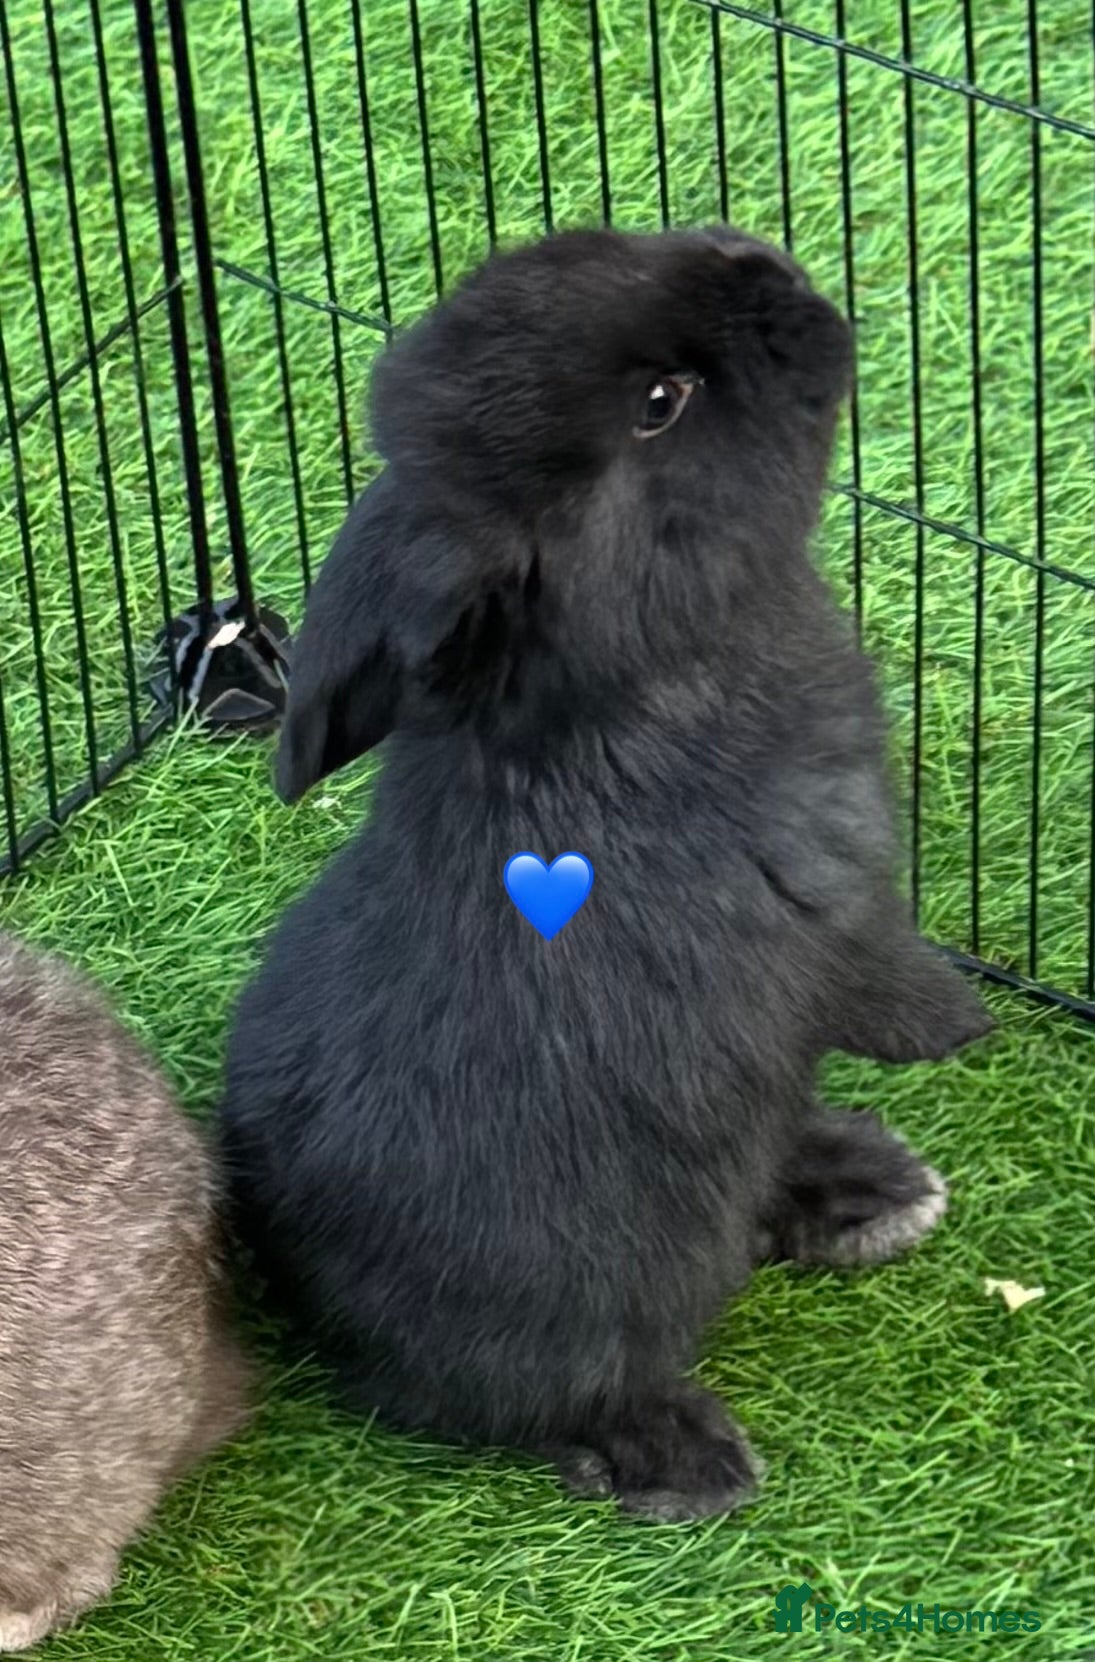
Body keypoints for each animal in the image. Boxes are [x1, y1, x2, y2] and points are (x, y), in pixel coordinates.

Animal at [219, 224, 992, 1523]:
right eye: (659, 403)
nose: (774, 272)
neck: (646, 664)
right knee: (547, 1398)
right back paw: (681, 1455)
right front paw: (964, 1029)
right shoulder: (827, 890)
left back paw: (868, 1187)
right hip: (596, 1291)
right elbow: (886, 976)